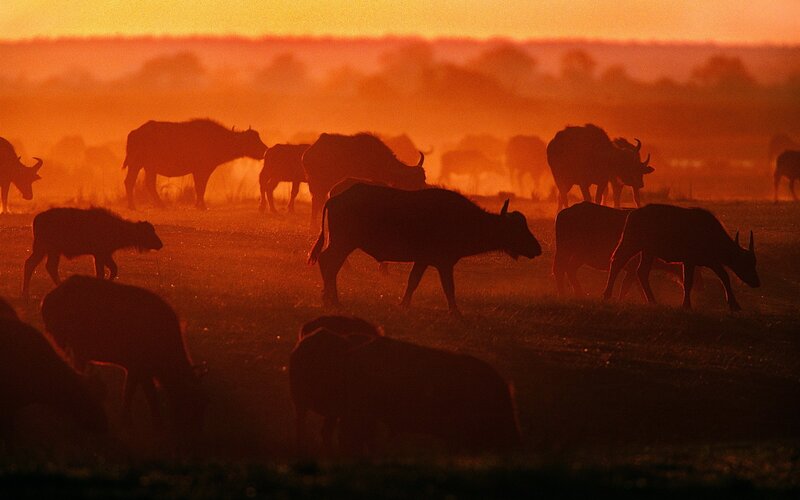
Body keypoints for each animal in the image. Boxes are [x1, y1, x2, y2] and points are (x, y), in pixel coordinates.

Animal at [22, 207, 163, 298]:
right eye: (149, 232)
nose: (160, 244)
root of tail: (37, 218)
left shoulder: (103, 255)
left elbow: (111, 270)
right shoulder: (101, 255)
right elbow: (104, 272)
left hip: (49, 251)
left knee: (41, 265)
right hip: (47, 249)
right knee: (39, 265)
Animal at [41, 276, 207, 436]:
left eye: (204, 402)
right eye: (193, 401)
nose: (197, 432)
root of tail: (49, 298)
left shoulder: (137, 370)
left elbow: (133, 392)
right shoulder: (139, 369)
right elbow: (144, 395)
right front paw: (152, 425)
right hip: (74, 349)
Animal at [123, 119, 267, 209]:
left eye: (258, 138)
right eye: (252, 140)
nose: (265, 150)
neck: (217, 139)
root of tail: (134, 133)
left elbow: (199, 188)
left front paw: (198, 205)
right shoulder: (202, 171)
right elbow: (201, 187)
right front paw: (201, 206)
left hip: (146, 167)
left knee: (145, 184)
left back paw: (158, 205)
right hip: (137, 164)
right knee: (132, 182)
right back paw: (134, 206)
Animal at [308, 183, 541, 314]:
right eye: (516, 227)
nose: (537, 248)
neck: (463, 219)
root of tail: (334, 198)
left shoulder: (423, 260)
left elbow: (413, 282)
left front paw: (404, 305)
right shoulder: (444, 263)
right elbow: (449, 287)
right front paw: (455, 311)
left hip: (342, 243)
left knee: (330, 264)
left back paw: (330, 299)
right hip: (343, 243)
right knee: (328, 262)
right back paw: (333, 301)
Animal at [602, 204, 759, 311]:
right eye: (747, 263)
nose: (756, 282)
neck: (711, 234)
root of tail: (633, 213)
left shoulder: (709, 262)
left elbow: (724, 276)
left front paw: (734, 304)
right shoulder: (691, 261)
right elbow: (688, 282)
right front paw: (686, 305)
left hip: (647, 252)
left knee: (641, 272)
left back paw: (652, 300)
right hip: (631, 244)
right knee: (617, 262)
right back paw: (607, 294)